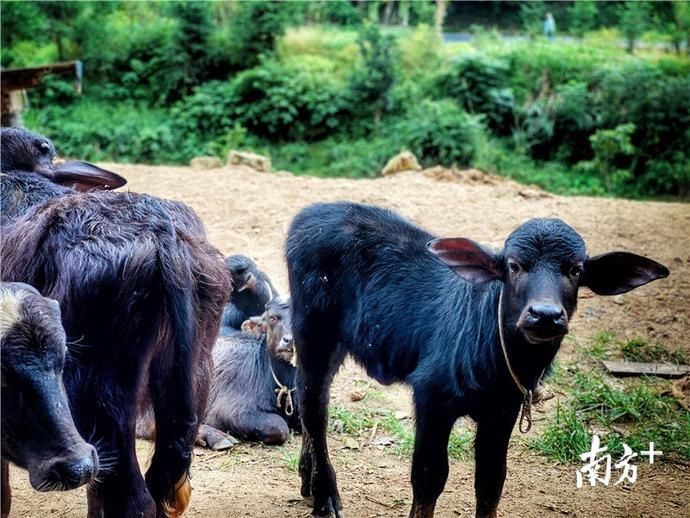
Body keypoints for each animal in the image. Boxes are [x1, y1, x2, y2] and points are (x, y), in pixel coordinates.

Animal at [284, 203, 668, 518]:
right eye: (514, 266)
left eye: (575, 270)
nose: (545, 315)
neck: (500, 360)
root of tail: (310, 215)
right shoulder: (432, 400)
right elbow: (429, 477)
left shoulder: (504, 411)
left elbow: (491, 480)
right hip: (313, 333)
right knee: (314, 406)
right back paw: (325, 496)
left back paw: (308, 481)